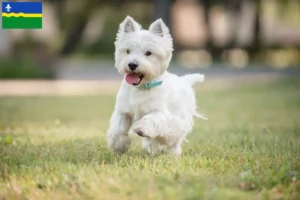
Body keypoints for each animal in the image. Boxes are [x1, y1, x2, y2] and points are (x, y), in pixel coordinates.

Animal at [105, 16, 206, 156]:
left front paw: (141, 128)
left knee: (173, 139)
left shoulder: (162, 112)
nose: (132, 64)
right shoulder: (123, 111)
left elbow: (152, 118)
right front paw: (119, 146)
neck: (141, 87)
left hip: (181, 120)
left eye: (148, 53)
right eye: (127, 51)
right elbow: (117, 129)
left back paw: (172, 153)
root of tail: (185, 81)